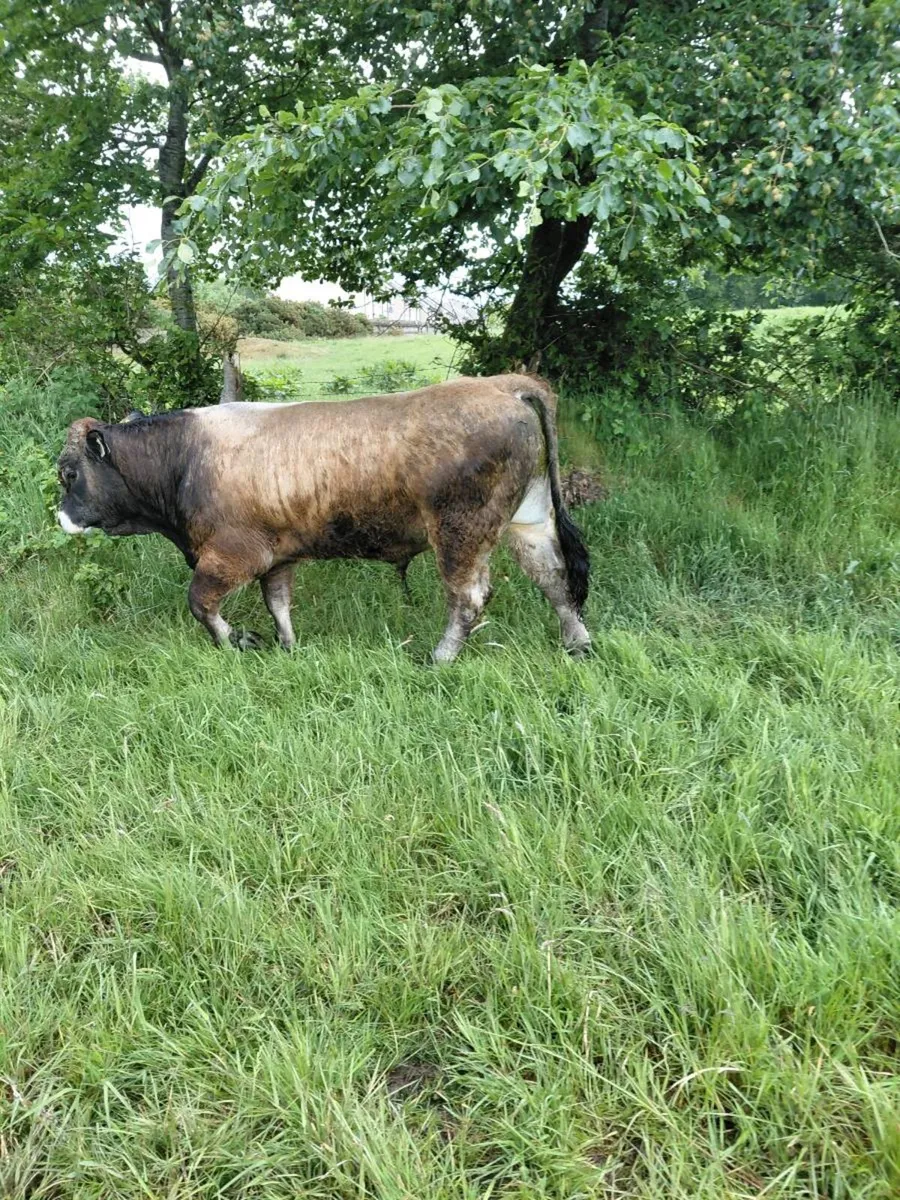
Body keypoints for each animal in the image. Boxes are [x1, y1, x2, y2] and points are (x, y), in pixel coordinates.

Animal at [57, 374, 591, 662]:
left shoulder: (230, 556)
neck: (186, 457)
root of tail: (504, 385)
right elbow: (279, 606)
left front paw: (237, 642)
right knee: (555, 579)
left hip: (460, 532)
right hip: (528, 520)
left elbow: (200, 605)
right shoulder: (276, 557)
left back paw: (439, 657)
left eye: (68, 474)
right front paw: (287, 647)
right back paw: (578, 643)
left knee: (469, 598)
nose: (61, 517)